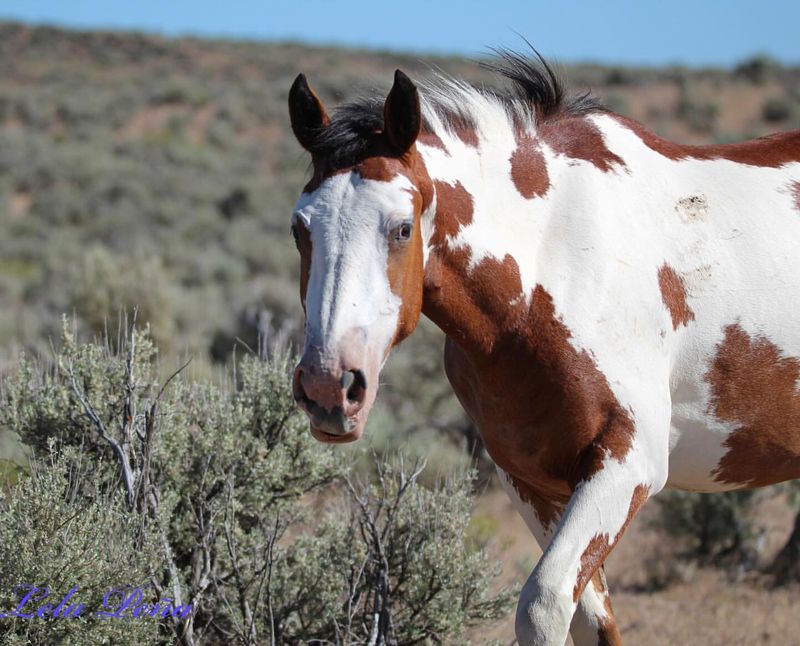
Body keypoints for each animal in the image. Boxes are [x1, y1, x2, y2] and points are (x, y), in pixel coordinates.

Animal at [286, 52, 800, 646]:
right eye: (299, 228)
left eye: (400, 228)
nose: (329, 387)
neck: (553, 262)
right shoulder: (531, 480)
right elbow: (590, 620)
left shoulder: (629, 463)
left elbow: (544, 604)